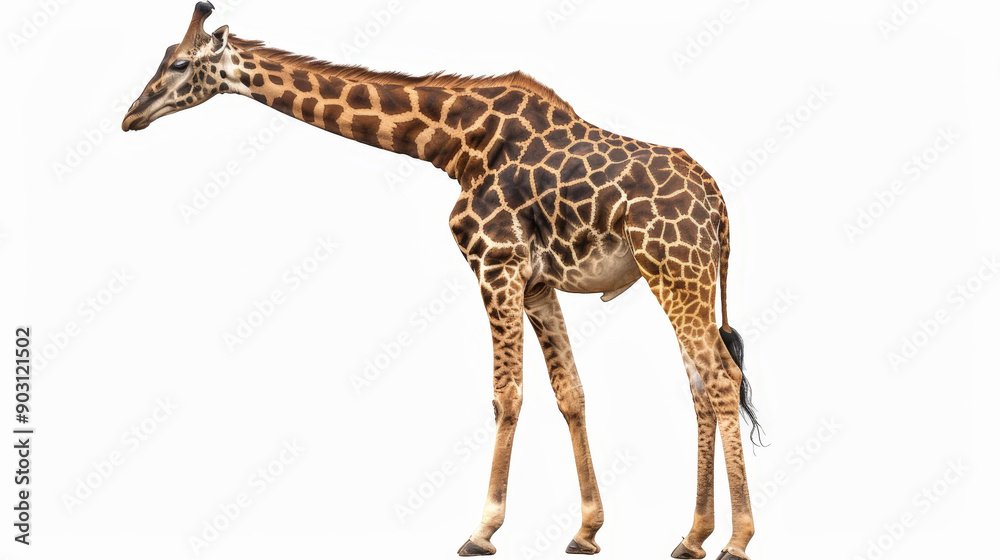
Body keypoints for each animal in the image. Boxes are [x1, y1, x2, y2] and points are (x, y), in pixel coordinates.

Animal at [122, 4, 764, 559]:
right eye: (163, 57)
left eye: (178, 65)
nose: (131, 115)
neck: (455, 143)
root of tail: (717, 202)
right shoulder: (535, 282)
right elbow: (570, 393)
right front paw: (586, 530)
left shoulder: (495, 262)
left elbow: (507, 393)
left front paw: (482, 530)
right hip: (682, 276)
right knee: (700, 384)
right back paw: (692, 537)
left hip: (675, 268)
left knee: (721, 379)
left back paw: (736, 541)